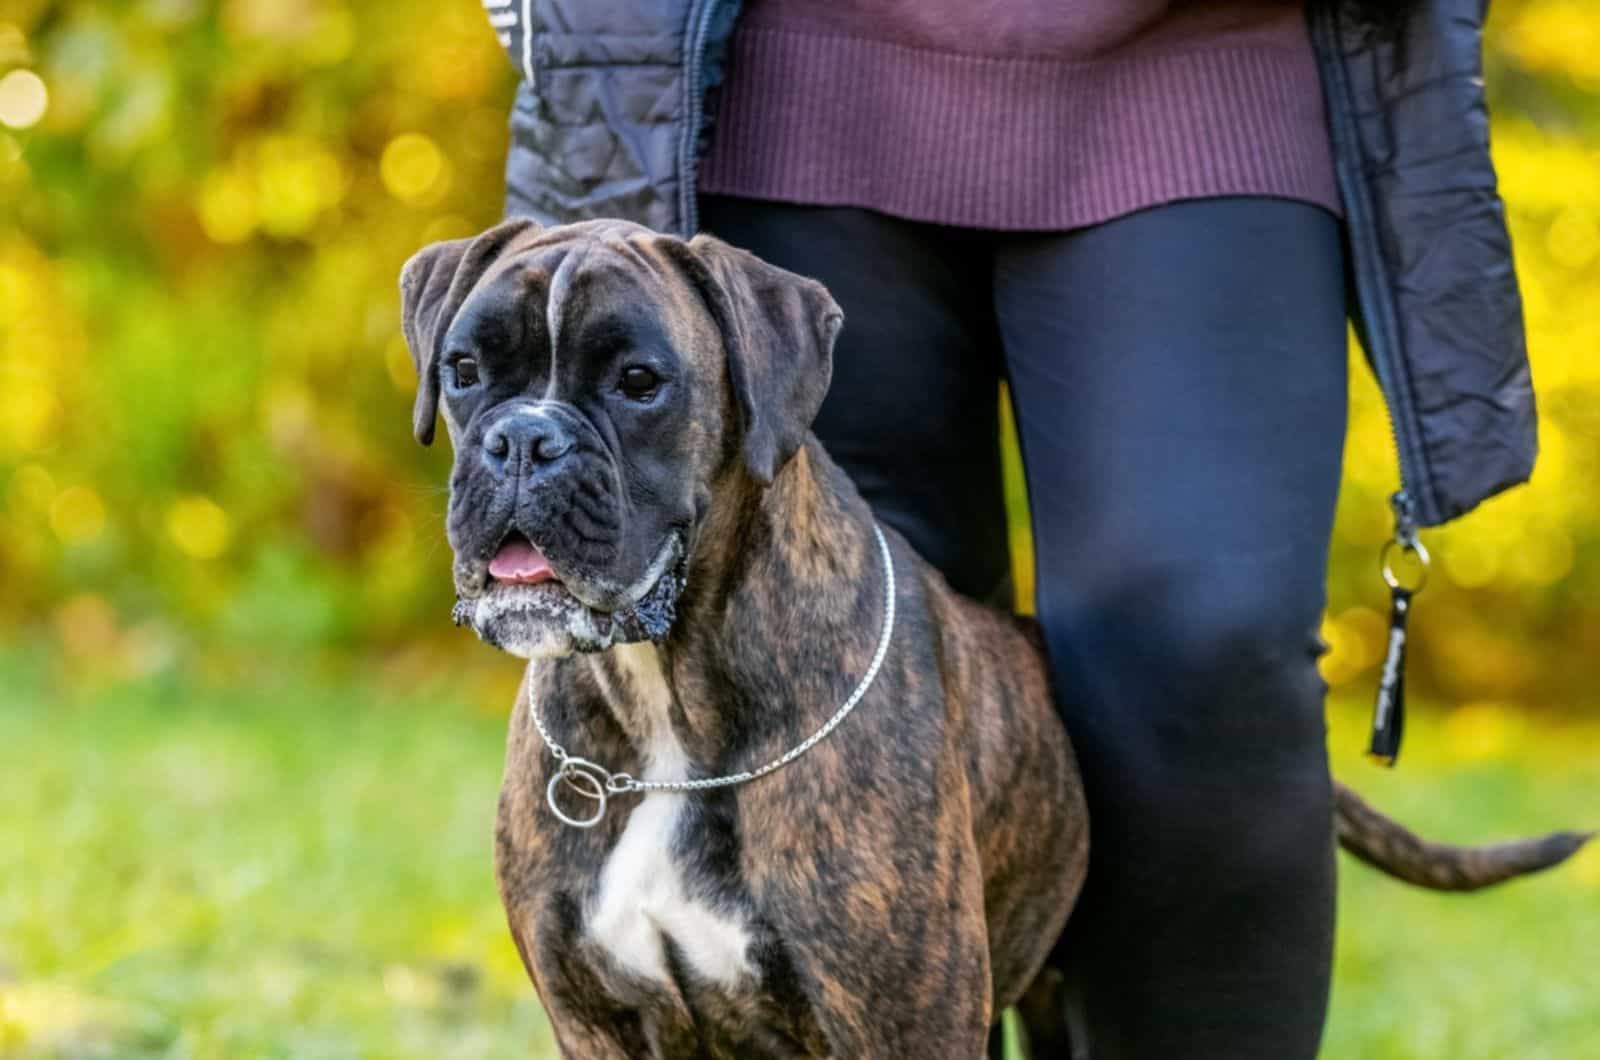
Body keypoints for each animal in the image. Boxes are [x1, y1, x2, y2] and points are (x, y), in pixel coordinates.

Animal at [400, 219, 1587, 1056]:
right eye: (464, 370)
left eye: (639, 381)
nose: (522, 440)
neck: (662, 713)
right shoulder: (596, 1021)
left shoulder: (903, 1027)